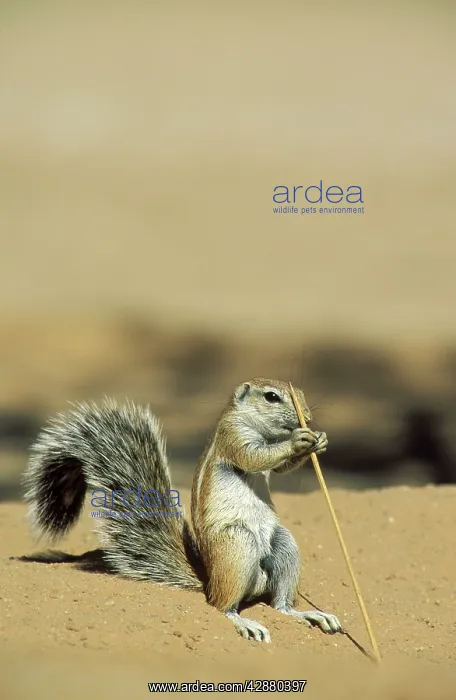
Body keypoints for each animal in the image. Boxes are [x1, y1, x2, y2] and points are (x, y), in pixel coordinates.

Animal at [22, 378, 342, 643]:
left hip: (284, 546)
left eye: (300, 393)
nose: (307, 417)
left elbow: (279, 467)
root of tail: (209, 579)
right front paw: (299, 440)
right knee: (221, 606)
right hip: (238, 546)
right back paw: (243, 622)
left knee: (281, 606)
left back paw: (311, 615)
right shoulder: (234, 438)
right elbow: (256, 457)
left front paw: (320, 440)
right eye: (271, 397)